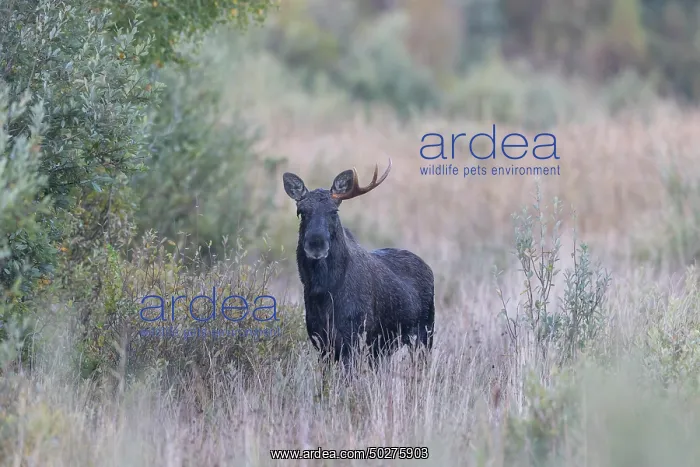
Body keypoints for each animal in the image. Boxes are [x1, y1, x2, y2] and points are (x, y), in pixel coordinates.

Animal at [282, 158, 435, 371]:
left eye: (334, 211)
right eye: (301, 212)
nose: (316, 244)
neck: (323, 291)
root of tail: (428, 267)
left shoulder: (354, 336)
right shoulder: (320, 341)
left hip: (424, 333)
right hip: (383, 347)